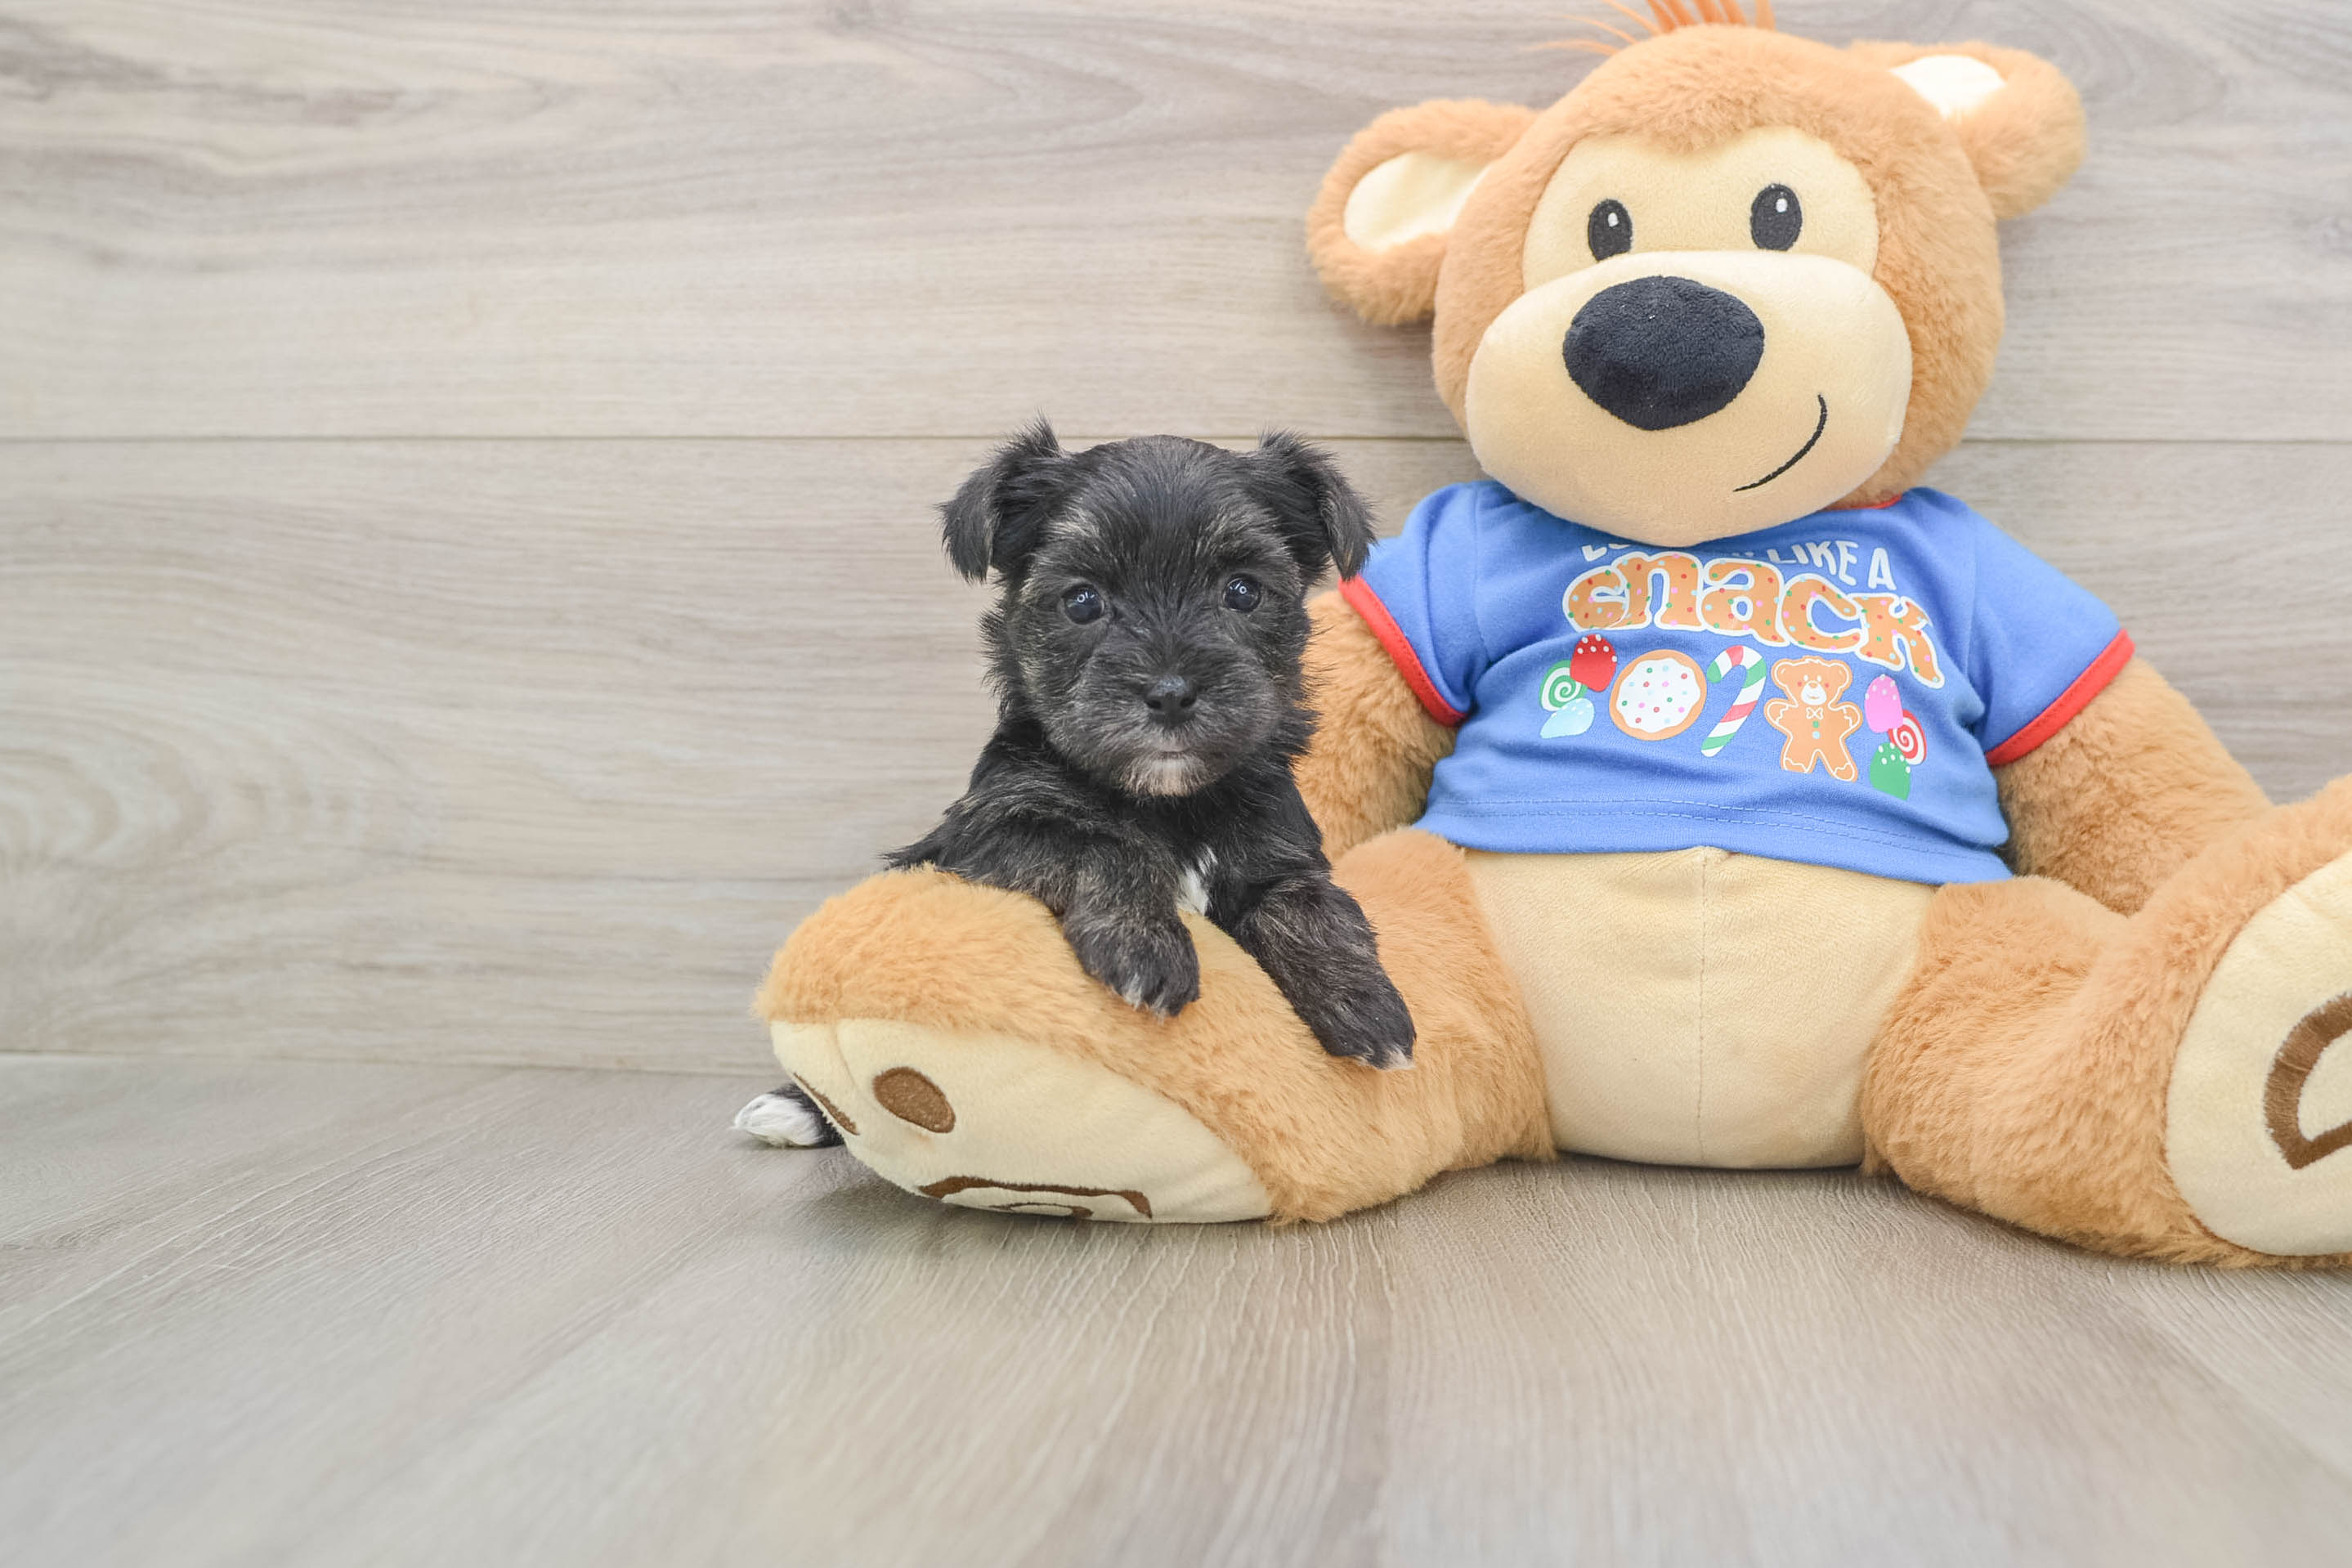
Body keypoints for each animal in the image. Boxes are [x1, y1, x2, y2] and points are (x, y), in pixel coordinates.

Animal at [736, 423, 1416, 1149]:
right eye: (1082, 600)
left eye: (1242, 592)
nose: (1170, 693)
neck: (1167, 801)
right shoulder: (984, 836)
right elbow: (1103, 846)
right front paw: (1146, 948)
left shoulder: (1278, 852)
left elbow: (1312, 908)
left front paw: (1366, 1004)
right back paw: (796, 1108)